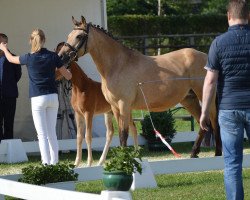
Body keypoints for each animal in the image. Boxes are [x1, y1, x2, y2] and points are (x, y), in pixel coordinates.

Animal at [59, 16, 223, 158]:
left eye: (79, 36)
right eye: (69, 35)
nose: (61, 57)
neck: (117, 65)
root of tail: (206, 58)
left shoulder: (124, 105)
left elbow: (124, 134)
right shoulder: (115, 108)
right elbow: (122, 134)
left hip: (205, 97)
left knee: (214, 122)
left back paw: (217, 154)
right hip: (189, 100)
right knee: (203, 123)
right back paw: (194, 153)